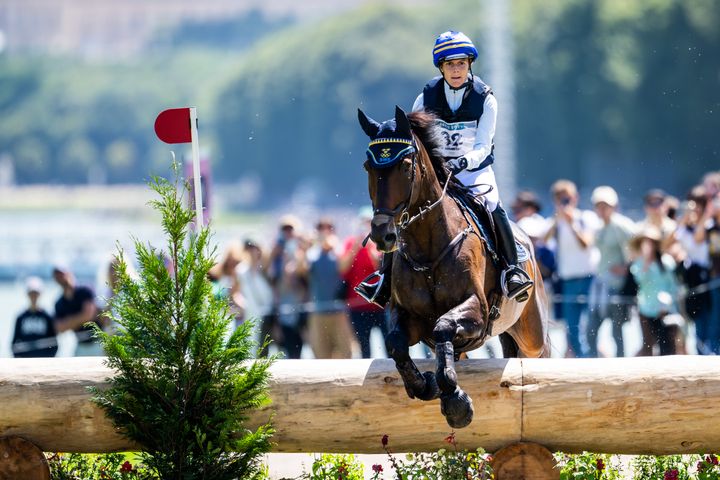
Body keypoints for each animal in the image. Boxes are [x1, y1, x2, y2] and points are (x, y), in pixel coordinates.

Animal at [358, 105, 548, 428]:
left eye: (405, 166)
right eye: (368, 167)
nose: (383, 235)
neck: (428, 249)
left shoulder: (476, 310)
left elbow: (444, 326)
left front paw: (456, 403)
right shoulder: (406, 315)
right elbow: (397, 343)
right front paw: (426, 385)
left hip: (531, 330)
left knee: (539, 353)